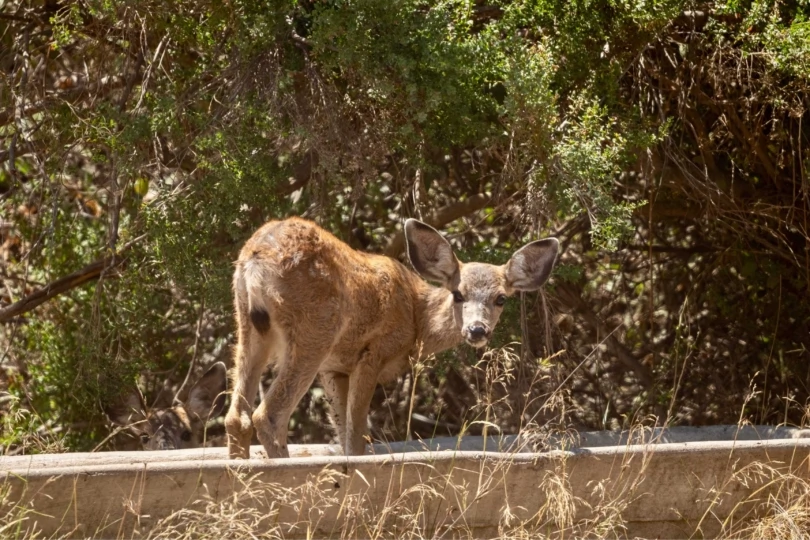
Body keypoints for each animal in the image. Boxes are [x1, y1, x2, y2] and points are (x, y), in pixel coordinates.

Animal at [225, 217, 559, 459]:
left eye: (501, 298)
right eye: (458, 293)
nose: (477, 330)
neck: (415, 317)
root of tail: (255, 261)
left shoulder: (334, 367)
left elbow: (344, 434)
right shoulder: (373, 350)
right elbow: (356, 435)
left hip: (248, 325)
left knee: (236, 417)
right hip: (314, 330)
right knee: (267, 416)